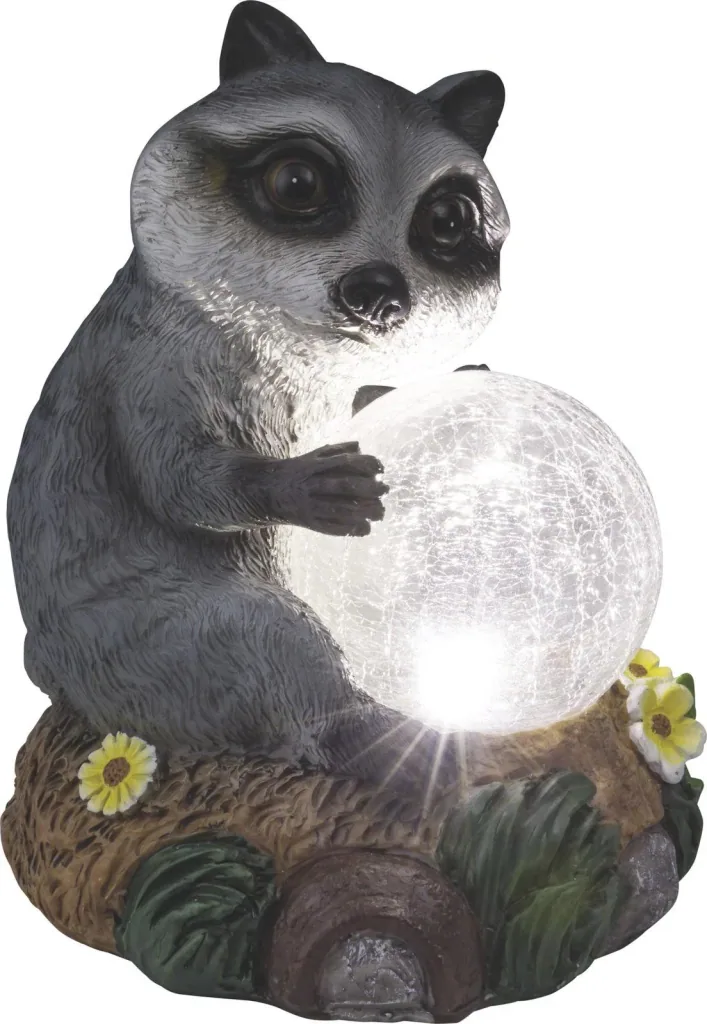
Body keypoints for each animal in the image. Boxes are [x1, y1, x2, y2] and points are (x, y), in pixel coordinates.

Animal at [7, 2, 509, 789]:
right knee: (263, 635)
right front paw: (285, 483)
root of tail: (46, 667)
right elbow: (178, 479)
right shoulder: (148, 363)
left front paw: (426, 391)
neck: (293, 340)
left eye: (446, 222)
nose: (378, 295)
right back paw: (370, 736)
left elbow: (363, 402)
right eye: (298, 184)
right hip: (133, 649)